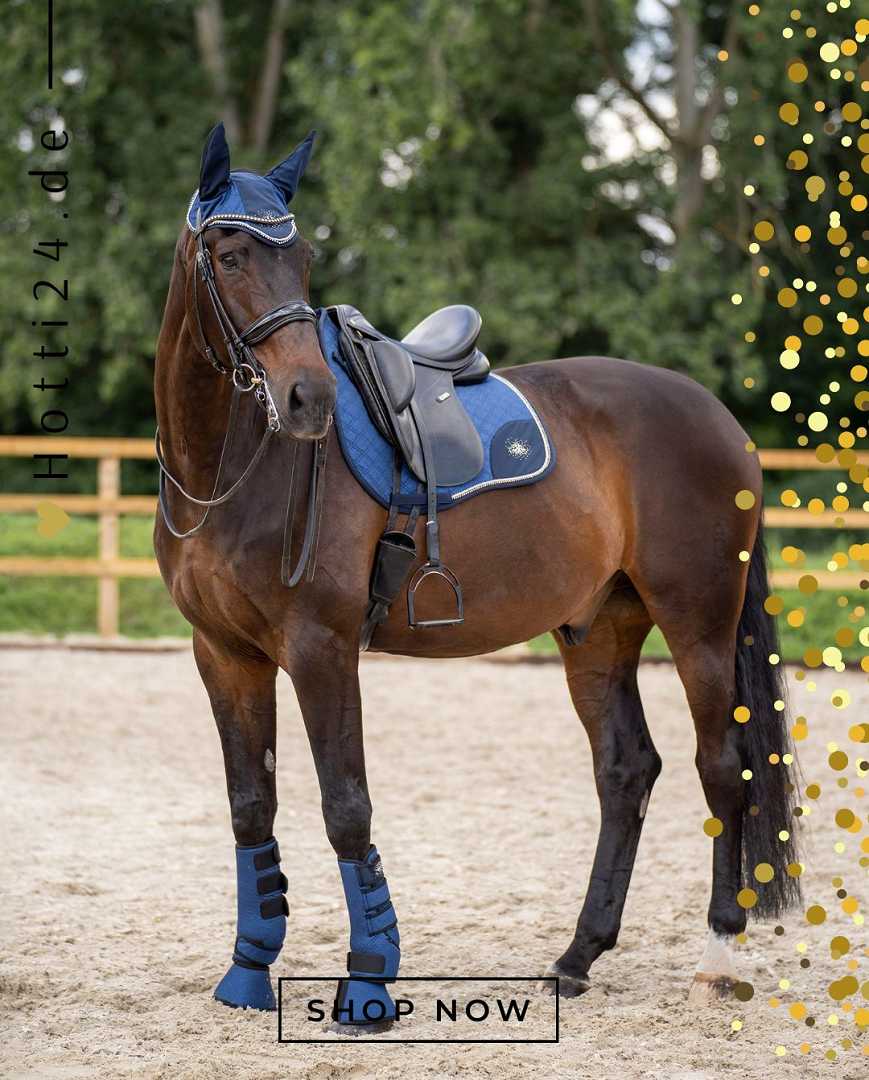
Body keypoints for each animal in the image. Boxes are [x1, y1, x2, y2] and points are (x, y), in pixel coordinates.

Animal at [153, 124, 799, 1030]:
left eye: (303, 255)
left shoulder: (320, 648)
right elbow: (252, 807)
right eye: (233, 254)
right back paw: (575, 958)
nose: (308, 397)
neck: (233, 467)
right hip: (598, 629)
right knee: (625, 771)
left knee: (722, 768)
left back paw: (715, 958)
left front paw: (368, 981)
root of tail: (716, 416)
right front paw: (247, 971)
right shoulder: (224, 655)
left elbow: (345, 807)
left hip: (697, 623)